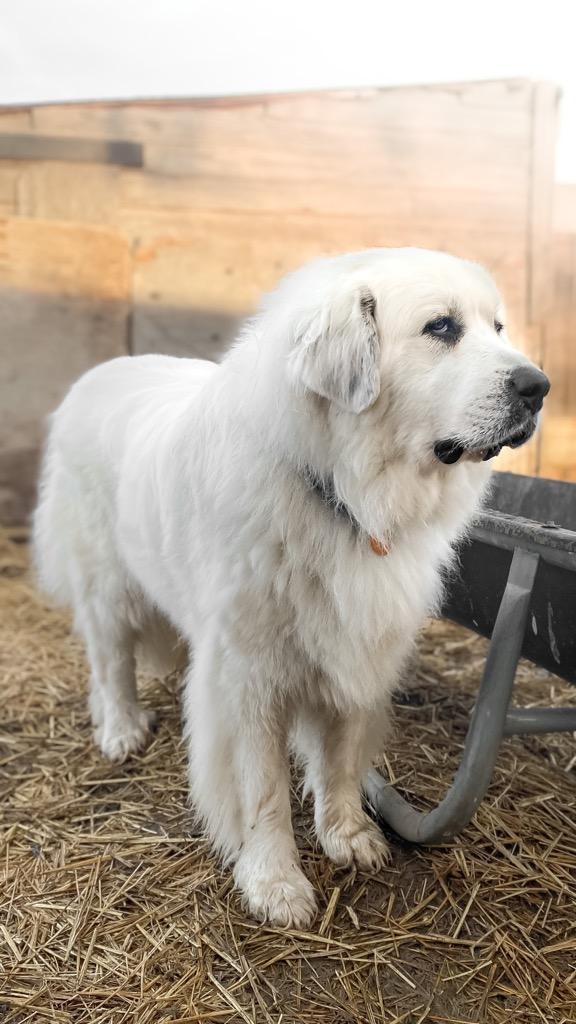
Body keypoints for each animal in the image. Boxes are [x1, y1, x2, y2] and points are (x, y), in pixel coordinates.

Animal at [32, 249, 545, 929]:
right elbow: (264, 790)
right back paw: (120, 728)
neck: (344, 495)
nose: (539, 387)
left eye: (499, 327)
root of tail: (102, 372)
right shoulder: (247, 677)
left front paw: (347, 834)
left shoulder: (360, 647)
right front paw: (275, 882)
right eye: (441, 327)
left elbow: (341, 756)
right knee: (110, 661)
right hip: (108, 586)